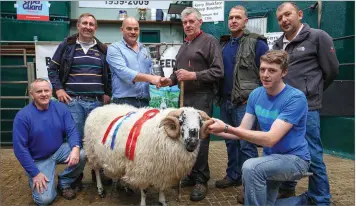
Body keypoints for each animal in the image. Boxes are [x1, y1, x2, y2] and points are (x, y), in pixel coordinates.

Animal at [83, 104, 211, 206]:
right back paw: (100, 190)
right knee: (97, 170)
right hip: (92, 151)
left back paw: (124, 187)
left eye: (200, 123)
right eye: (181, 121)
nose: (193, 142)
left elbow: (162, 188)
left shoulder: (164, 170)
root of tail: (99, 108)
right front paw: (144, 203)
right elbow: (144, 191)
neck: (162, 133)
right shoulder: (143, 169)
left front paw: (162, 201)